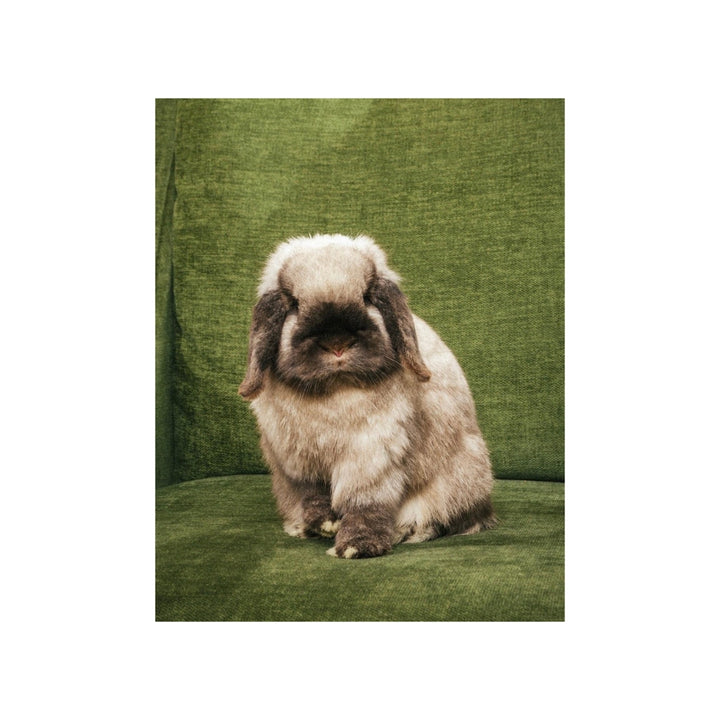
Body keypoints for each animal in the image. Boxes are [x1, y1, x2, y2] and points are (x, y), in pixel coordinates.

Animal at [239, 234, 496, 559]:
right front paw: (324, 525)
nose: (337, 344)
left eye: (366, 297)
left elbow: (365, 505)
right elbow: (314, 497)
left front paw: (356, 547)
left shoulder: (371, 459)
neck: (335, 389)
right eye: (294, 304)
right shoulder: (300, 464)